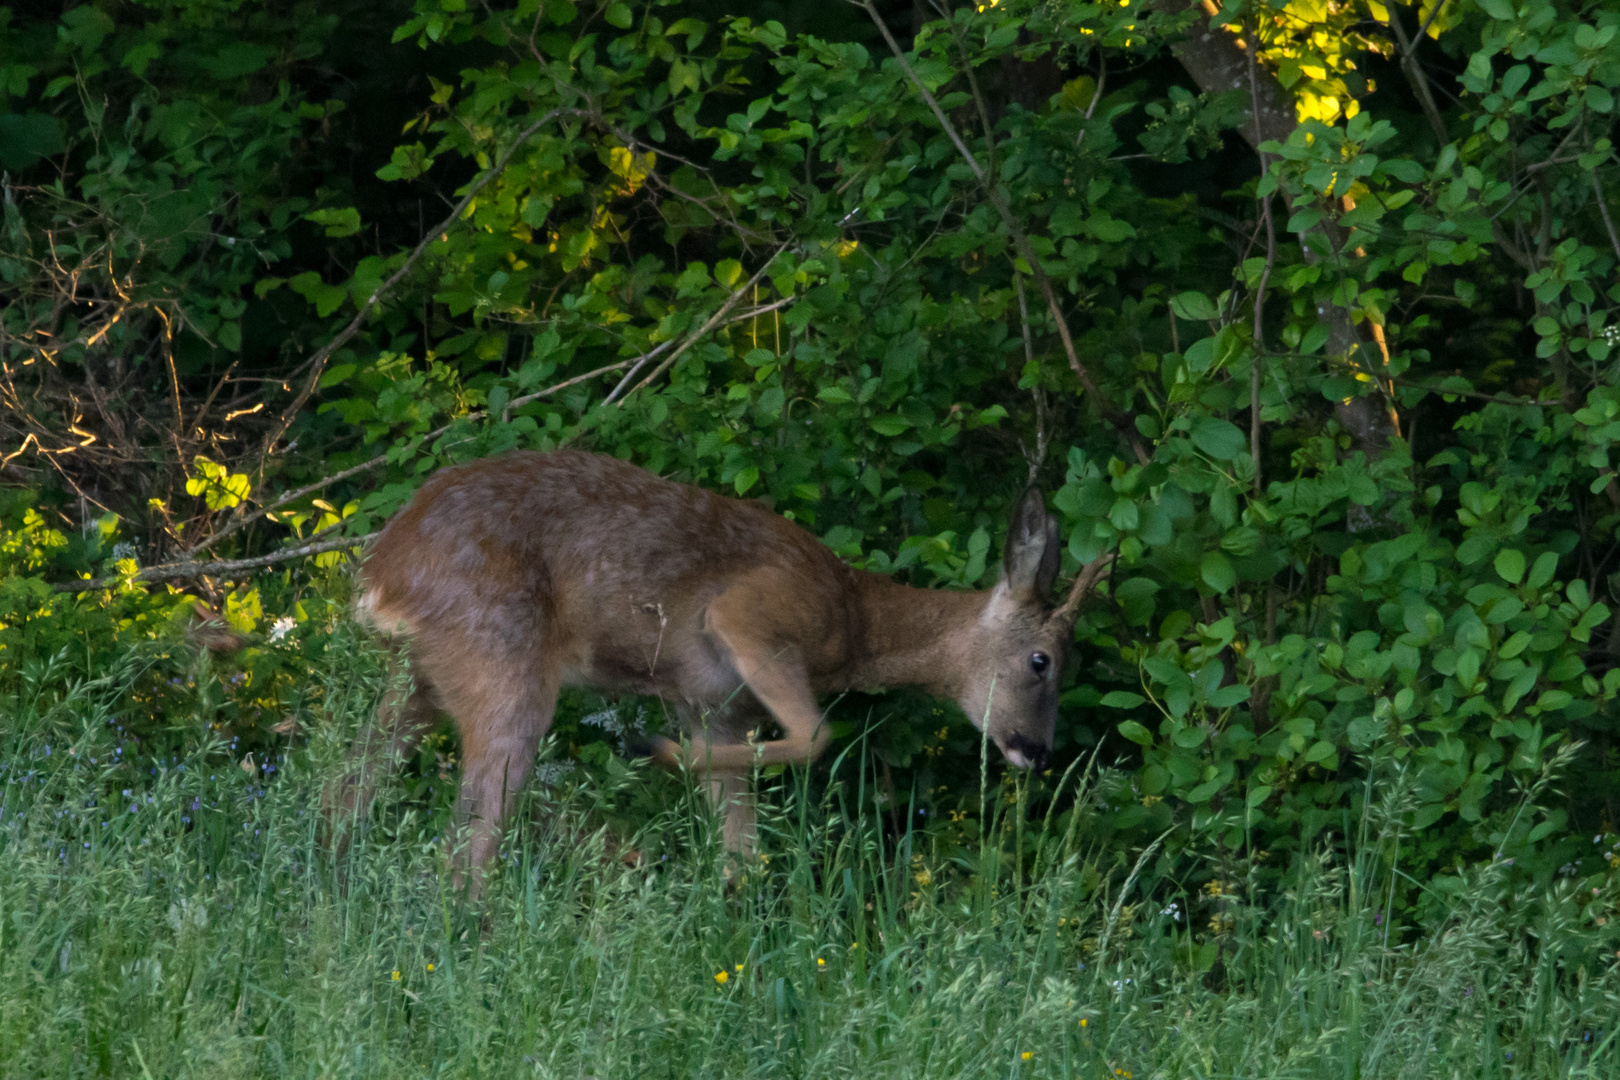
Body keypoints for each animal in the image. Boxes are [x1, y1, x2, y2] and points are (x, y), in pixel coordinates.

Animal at [336, 446, 1108, 887]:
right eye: (1042, 661)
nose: (1036, 752)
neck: (851, 623)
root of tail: (384, 572)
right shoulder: (749, 618)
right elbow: (815, 736)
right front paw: (648, 750)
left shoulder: (709, 701)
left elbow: (743, 840)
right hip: (501, 659)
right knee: (467, 839)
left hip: (421, 678)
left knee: (346, 785)